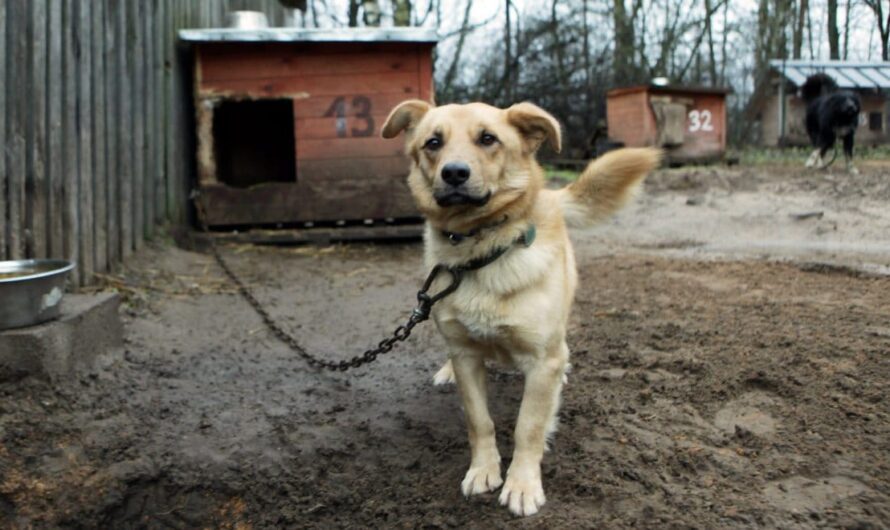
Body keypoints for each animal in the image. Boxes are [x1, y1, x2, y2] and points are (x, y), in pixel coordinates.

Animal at [382, 101, 660, 512]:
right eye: (433, 142)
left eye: (488, 139)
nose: (454, 173)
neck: (481, 251)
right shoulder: (466, 356)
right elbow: (479, 421)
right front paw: (483, 469)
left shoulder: (542, 360)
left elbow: (528, 426)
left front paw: (523, 484)